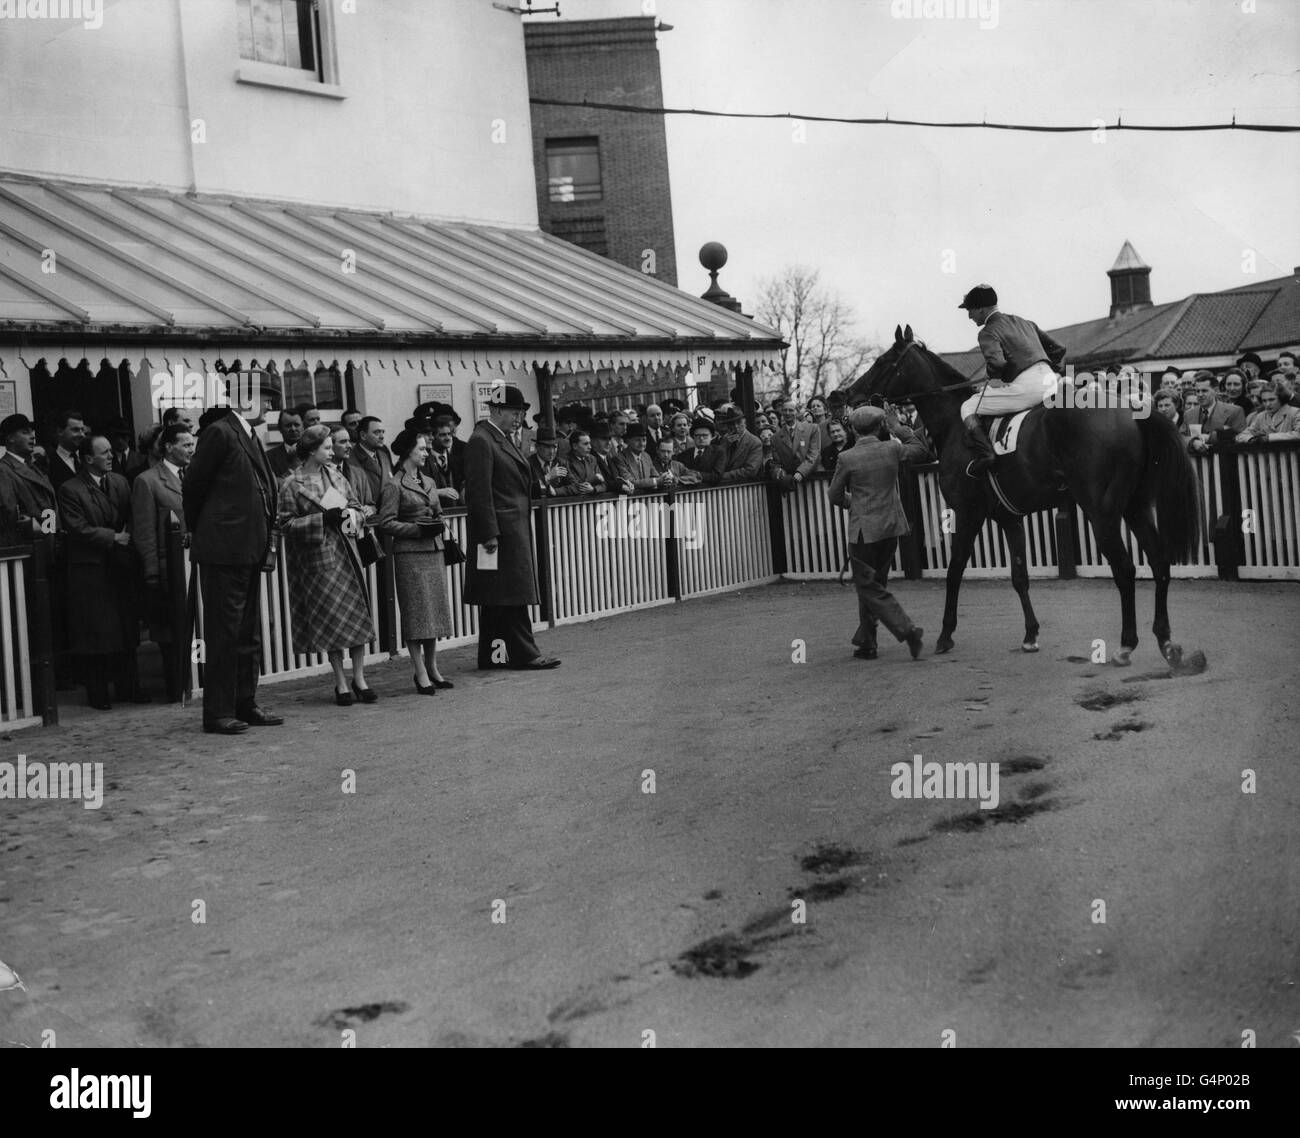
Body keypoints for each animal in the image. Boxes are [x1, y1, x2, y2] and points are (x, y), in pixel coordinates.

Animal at [847, 325, 1201, 665]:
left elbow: (955, 569)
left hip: (1102, 513)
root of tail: (1129, 411)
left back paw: (1126, 646)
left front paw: (945, 635)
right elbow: (1019, 576)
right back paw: (1166, 642)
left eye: (881, 361)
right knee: (1159, 562)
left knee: (1125, 570)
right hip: (1135, 506)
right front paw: (1030, 634)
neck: (954, 427)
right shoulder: (1010, 518)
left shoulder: (966, 513)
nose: (845, 393)